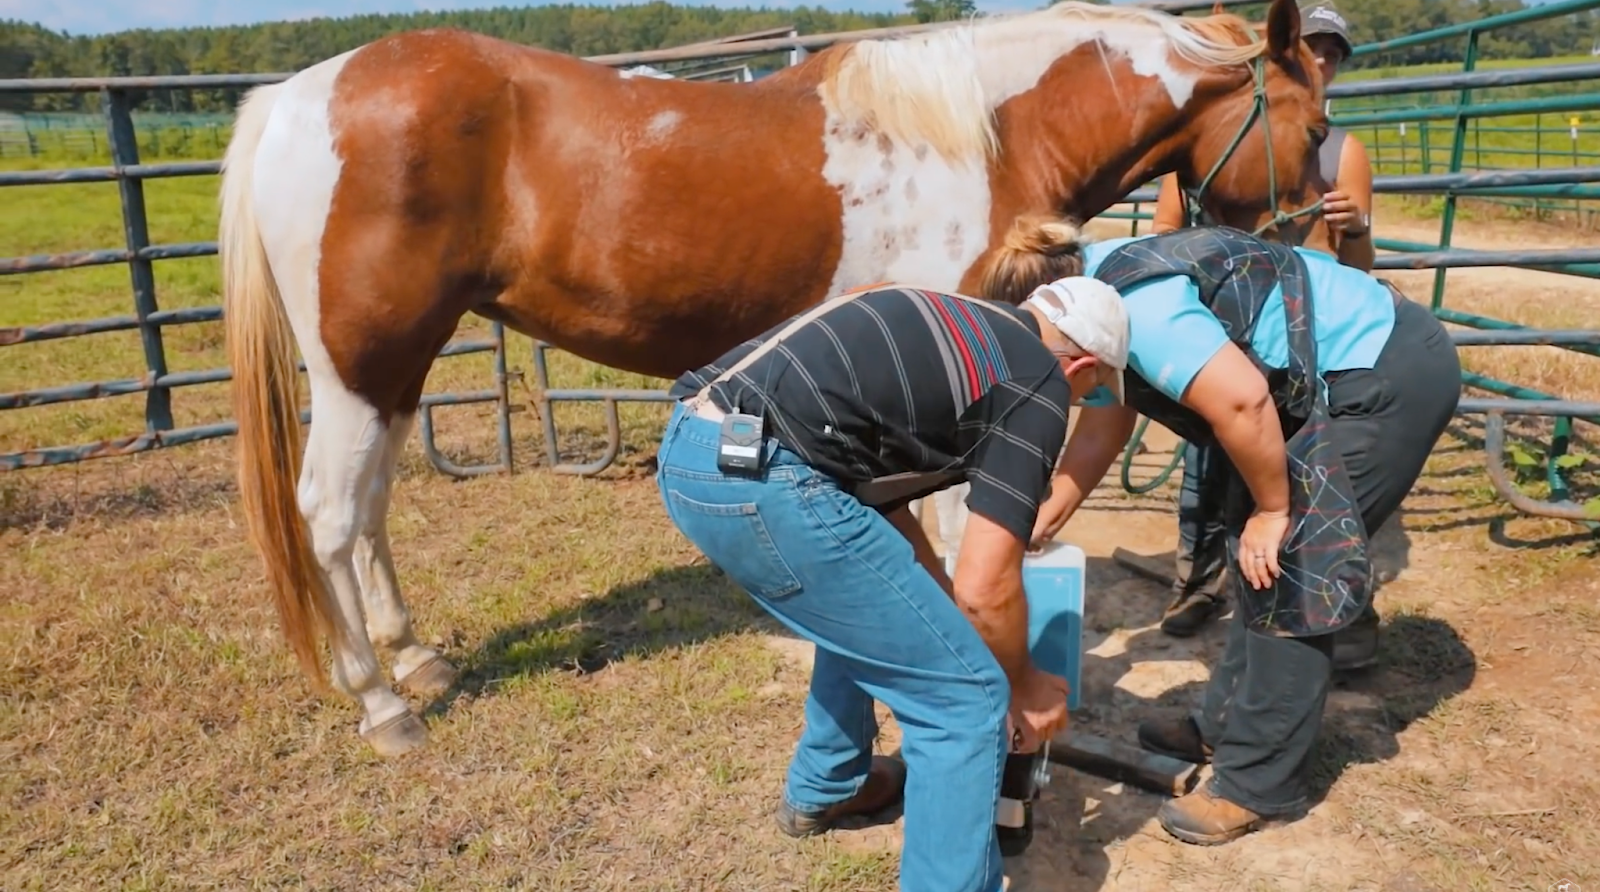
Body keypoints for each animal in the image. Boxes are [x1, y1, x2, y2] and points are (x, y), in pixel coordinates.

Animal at [218, 0, 1329, 757]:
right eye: (1318, 130)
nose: (1311, 250)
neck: (987, 130)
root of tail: (297, 97)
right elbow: (959, 539)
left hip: (394, 370)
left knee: (366, 510)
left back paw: (414, 656)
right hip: (363, 365)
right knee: (330, 511)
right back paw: (383, 702)